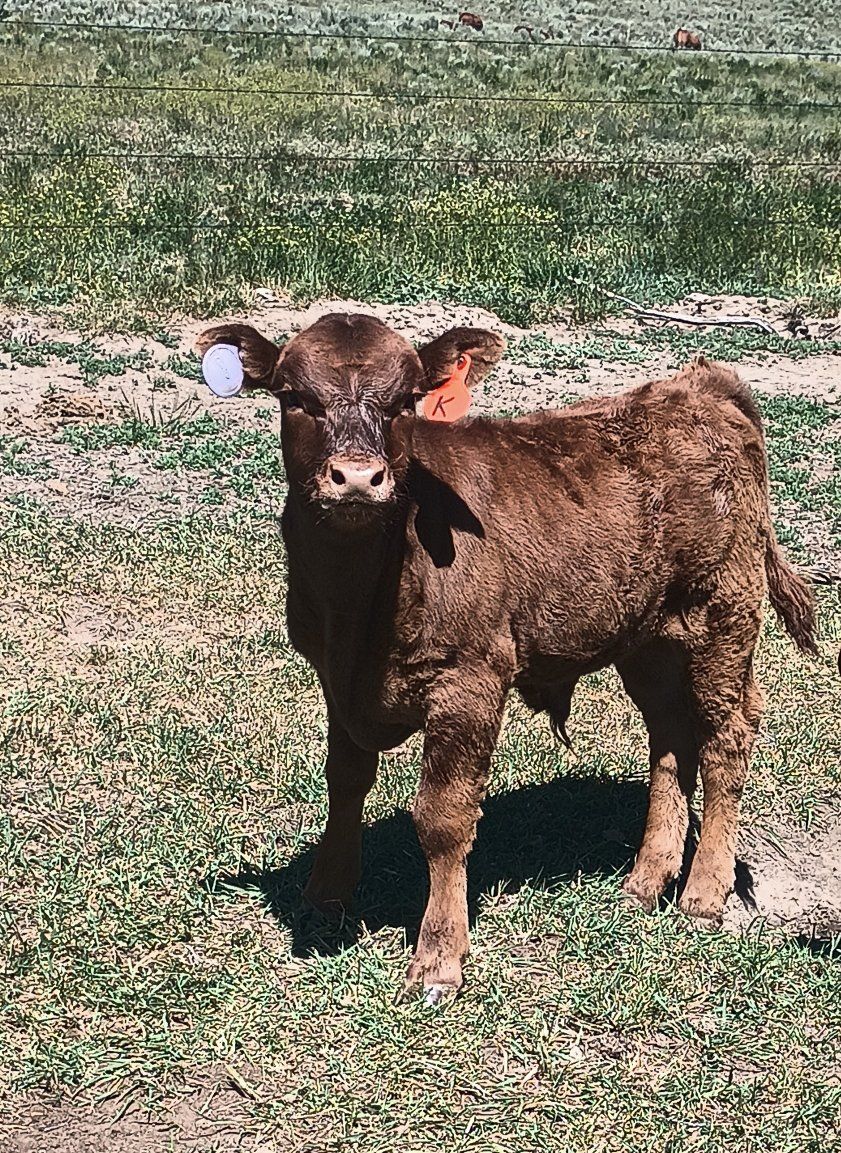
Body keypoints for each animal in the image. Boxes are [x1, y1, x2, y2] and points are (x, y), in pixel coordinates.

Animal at [196, 315, 818, 1005]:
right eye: (293, 397)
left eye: (407, 401)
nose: (358, 478)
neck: (356, 611)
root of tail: (698, 386)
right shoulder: (337, 680)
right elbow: (345, 781)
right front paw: (327, 893)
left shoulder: (469, 682)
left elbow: (442, 818)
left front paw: (438, 958)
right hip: (649, 638)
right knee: (669, 741)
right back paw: (644, 881)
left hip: (722, 615)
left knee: (724, 739)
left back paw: (703, 892)